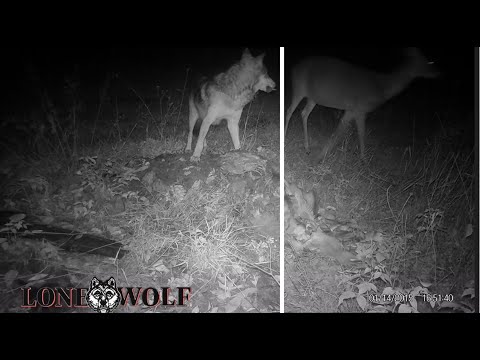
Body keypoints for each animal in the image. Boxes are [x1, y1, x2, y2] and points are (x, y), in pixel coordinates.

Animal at [284, 47, 438, 160]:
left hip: (313, 97)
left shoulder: (354, 110)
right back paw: (285, 137)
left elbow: (348, 132)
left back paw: (307, 148)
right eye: (427, 62)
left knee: (304, 113)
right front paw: (362, 159)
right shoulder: (358, 108)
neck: (382, 87)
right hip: (299, 88)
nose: (437, 72)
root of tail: (293, 68)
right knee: (289, 110)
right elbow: (354, 133)